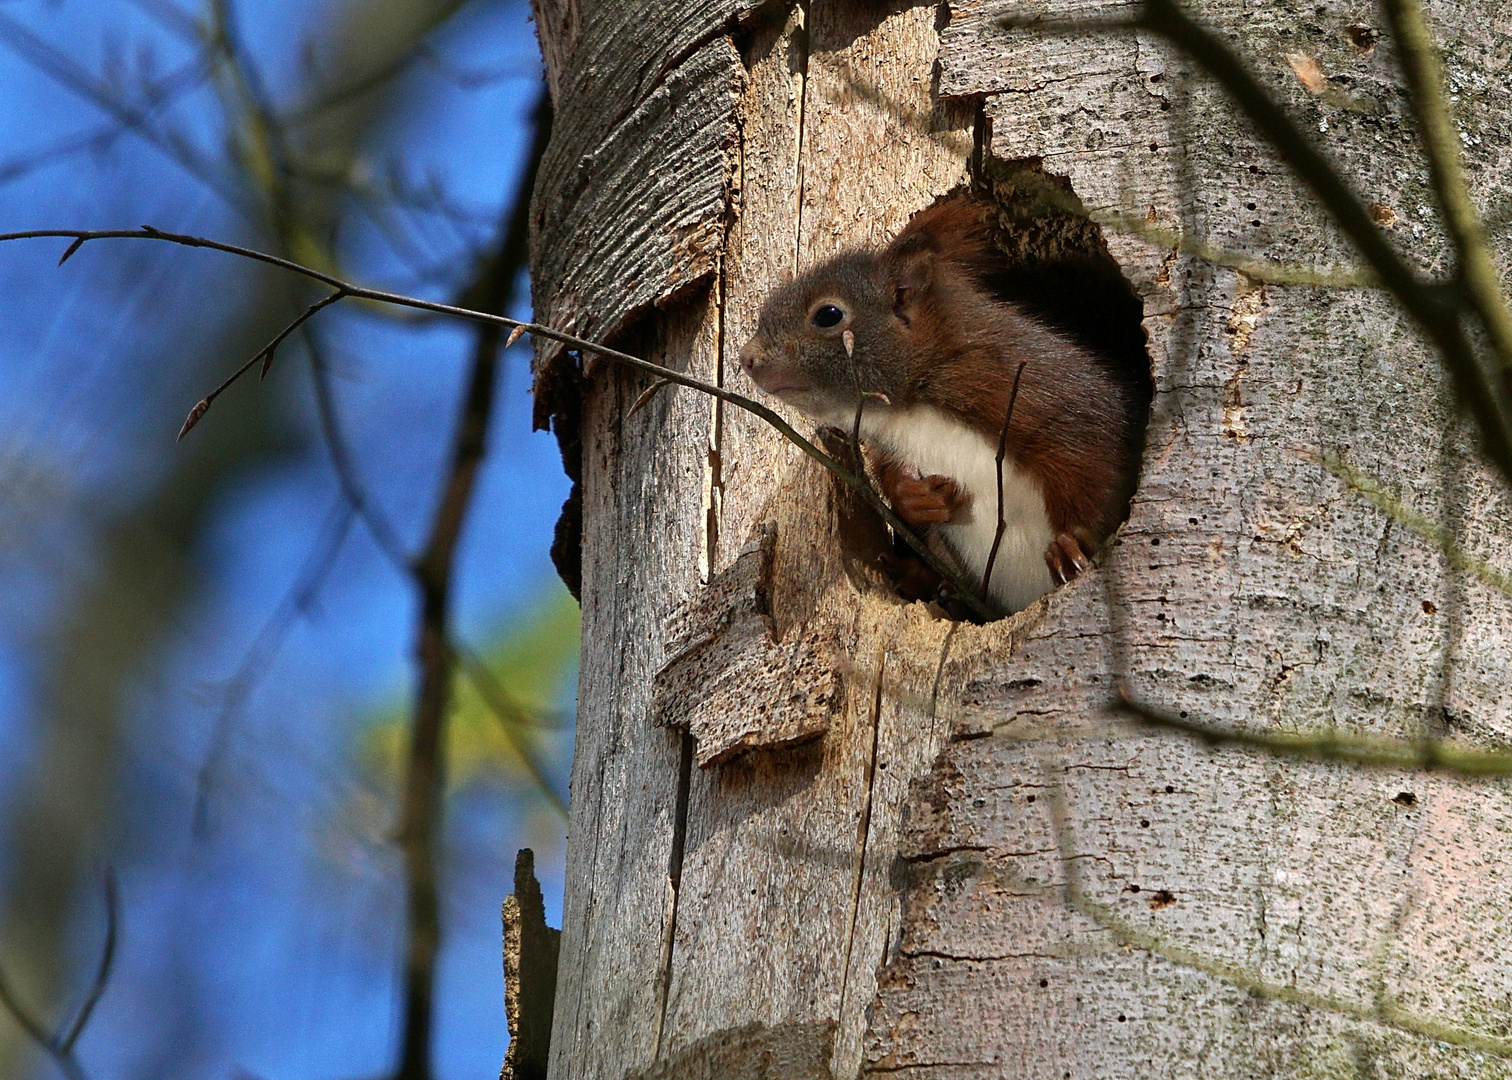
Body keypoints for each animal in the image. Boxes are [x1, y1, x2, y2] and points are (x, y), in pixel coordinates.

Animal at [734, 193, 1143, 614]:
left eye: (828, 315)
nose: (747, 358)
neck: (911, 410)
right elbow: (893, 478)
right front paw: (916, 498)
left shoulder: (1039, 391)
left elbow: (1092, 457)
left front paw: (1070, 544)